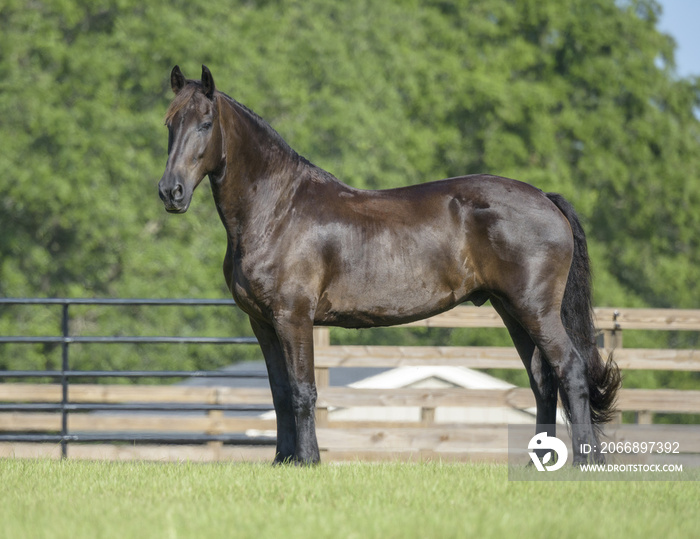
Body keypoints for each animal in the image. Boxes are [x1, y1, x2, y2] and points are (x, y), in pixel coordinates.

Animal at [157, 66, 616, 464]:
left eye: (205, 123)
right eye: (169, 124)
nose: (170, 191)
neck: (279, 209)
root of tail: (544, 197)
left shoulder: (293, 317)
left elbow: (303, 391)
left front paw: (308, 462)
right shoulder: (263, 323)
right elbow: (280, 394)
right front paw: (283, 462)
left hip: (535, 309)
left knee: (570, 371)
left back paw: (583, 464)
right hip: (512, 311)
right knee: (543, 381)